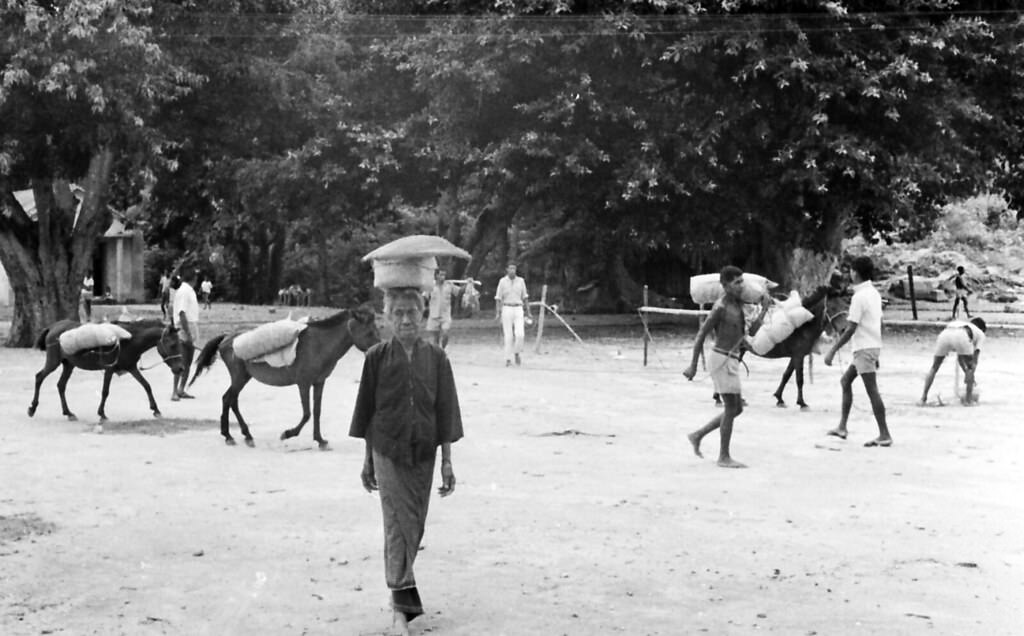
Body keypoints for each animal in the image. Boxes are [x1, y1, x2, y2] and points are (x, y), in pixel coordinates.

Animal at [27, 317, 183, 426]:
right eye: (172, 344)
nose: (181, 368)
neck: (129, 341)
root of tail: (52, 327)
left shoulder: (131, 368)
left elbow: (146, 385)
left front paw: (156, 410)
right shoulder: (109, 369)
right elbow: (105, 392)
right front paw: (102, 414)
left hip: (69, 365)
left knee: (61, 385)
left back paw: (69, 413)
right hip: (53, 362)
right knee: (39, 377)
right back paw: (32, 408)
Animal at [188, 307, 380, 446]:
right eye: (370, 332)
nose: (379, 348)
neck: (319, 344)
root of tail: (227, 337)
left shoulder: (319, 382)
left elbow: (317, 411)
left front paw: (320, 439)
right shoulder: (303, 383)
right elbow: (307, 413)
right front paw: (288, 434)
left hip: (243, 377)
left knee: (231, 400)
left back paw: (243, 434)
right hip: (239, 377)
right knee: (228, 399)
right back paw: (229, 435)